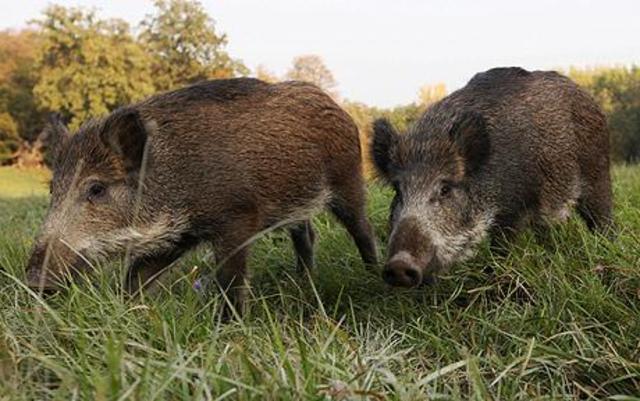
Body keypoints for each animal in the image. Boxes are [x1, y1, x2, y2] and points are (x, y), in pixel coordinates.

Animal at [25, 78, 378, 312]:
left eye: (96, 188)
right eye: (53, 189)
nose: (34, 282)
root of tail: (339, 108)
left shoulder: (236, 218)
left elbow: (231, 280)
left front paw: (229, 327)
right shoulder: (175, 235)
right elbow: (135, 277)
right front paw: (127, 312)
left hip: (349, 182)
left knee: (363, 229)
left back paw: (370, 275)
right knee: (306, 233)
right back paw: (303, 281)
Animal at [372, 67, 613, 288]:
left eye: (445, 188)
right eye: (398, 190)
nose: (399, 264)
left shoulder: (516, 206)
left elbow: (502, 245)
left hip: (597, 172)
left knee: (602, 216)